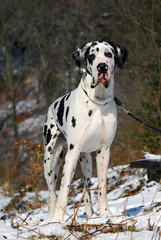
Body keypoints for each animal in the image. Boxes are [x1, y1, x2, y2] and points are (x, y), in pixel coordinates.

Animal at [43, 40, 128, 222]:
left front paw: (106, 213)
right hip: (50, 159)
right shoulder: (72, 153)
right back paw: (51, 215)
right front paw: (58, 221)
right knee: (52, 192)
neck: (98, 103)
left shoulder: (104, 151)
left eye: (109, 54)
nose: (102, 67)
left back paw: (90, 215)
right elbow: (64, 189)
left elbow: (102, 187)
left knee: (86, 189)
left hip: (87, 161)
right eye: (91, 56)